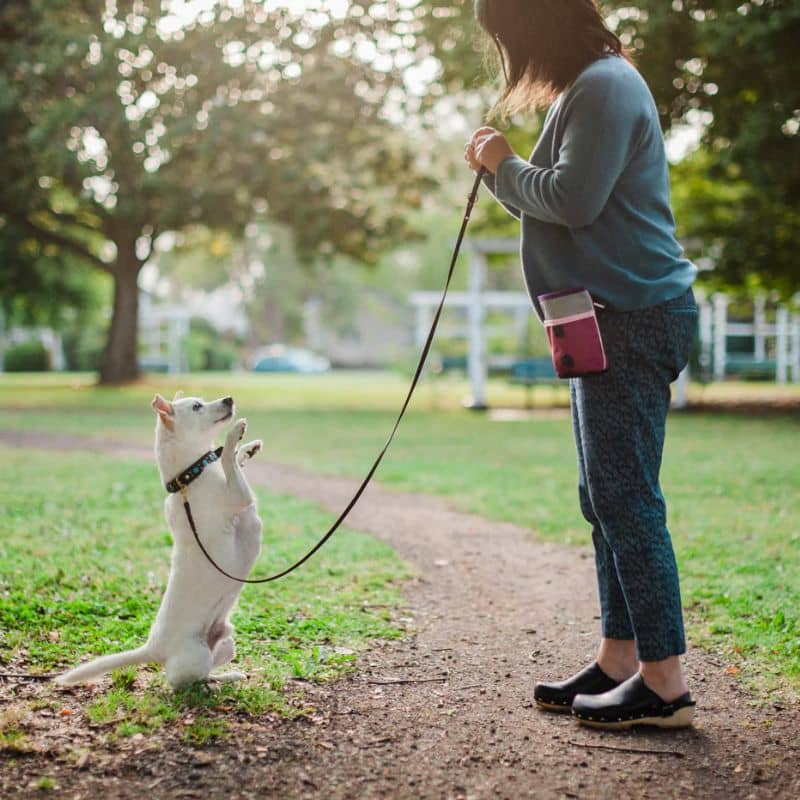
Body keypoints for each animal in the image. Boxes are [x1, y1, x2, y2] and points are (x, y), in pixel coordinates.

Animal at [54, 392, 266, 688]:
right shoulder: (239, 496)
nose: (229, 398)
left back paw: (229, 676)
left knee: (210, 669)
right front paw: (235, 434)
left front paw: (248, 448)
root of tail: (154, 647)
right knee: (185, 682)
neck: (189, 476)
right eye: (197, 407)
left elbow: (233, 460)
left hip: (226, 642)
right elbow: (227, 460)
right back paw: (212, 685)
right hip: (196, 654)